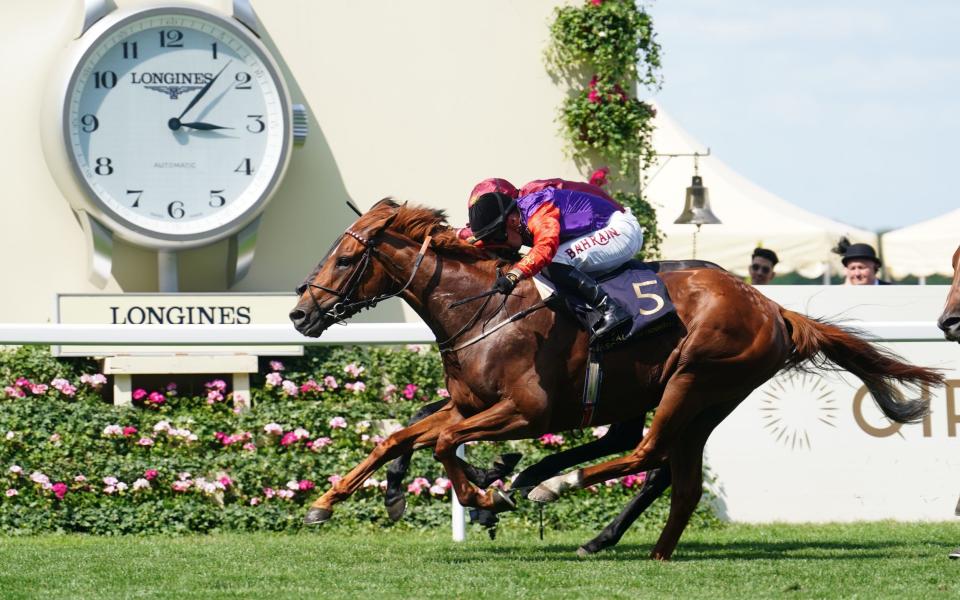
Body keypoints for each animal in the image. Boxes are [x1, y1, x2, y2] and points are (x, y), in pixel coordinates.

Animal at [288, 199, 940, 560]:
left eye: (345, 259)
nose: (299, 314)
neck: (485, 308)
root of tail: (772, 307)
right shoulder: (471, 404)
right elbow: (401, 436)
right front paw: (327, 501)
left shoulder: (528, 411)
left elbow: (443, 441)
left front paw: (484, 494)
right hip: (682, 397)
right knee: (668, 472)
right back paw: (629, 541)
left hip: (697, 380)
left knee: (652, 456)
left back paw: (554, 486)